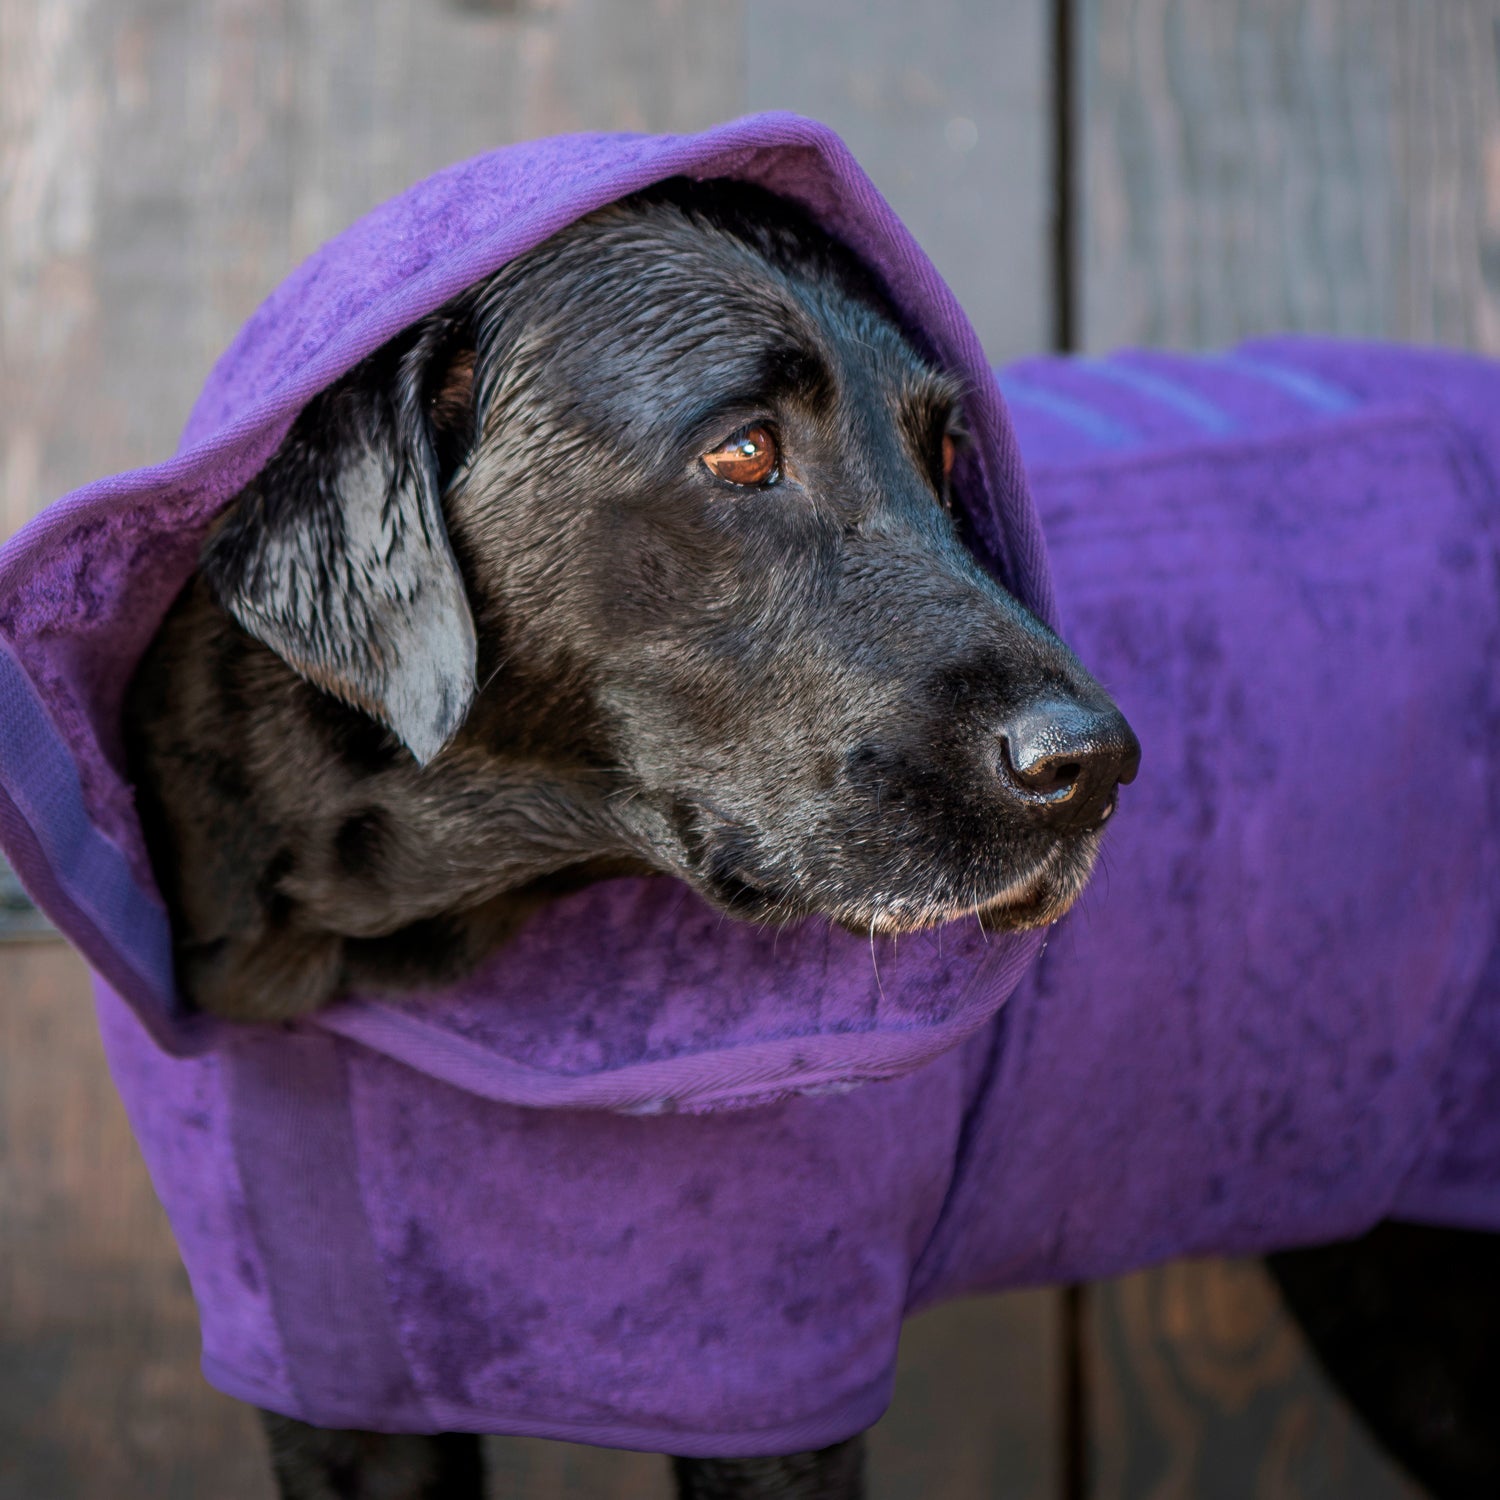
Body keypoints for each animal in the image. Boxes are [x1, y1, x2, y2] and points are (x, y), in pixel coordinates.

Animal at [126, 184, 1134, 1500]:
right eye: (744, 450)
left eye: (950, 456)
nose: (1096, 766)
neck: (379, 940)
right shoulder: (334, 1397)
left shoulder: (770, 1376)